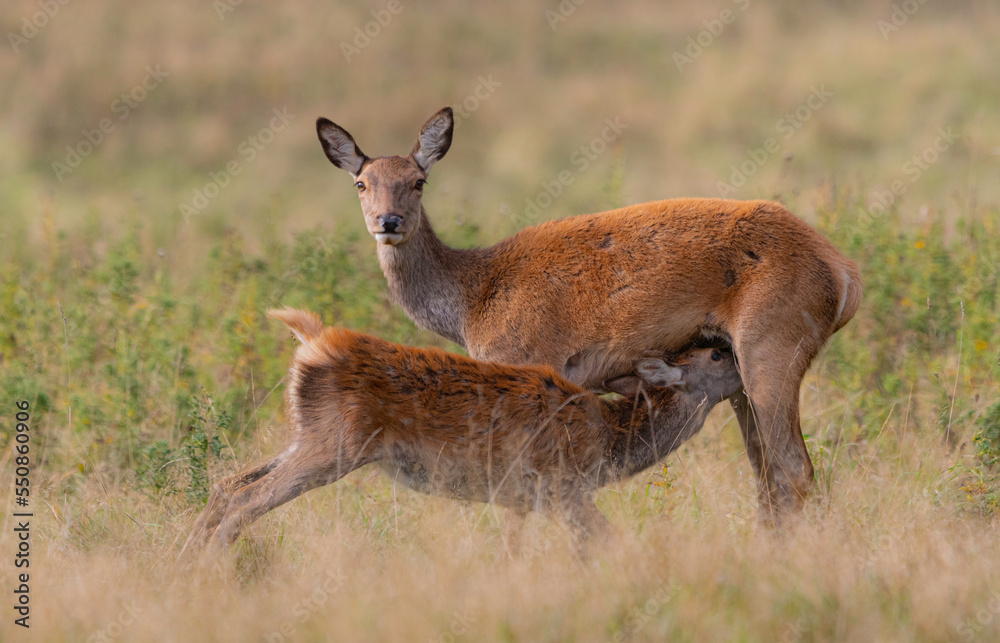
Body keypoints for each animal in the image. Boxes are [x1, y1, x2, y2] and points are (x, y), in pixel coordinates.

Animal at [180, 309, 743, 555]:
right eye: (717, 354)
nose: (745, 359)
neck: (609, 441)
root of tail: (312, 343)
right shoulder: (558, 485)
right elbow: (606, 541)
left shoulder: (522, 497)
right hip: (335, 444)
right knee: (245, 500)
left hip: (306, 434)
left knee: (226, 483)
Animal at [314, 107, 862, 526]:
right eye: (361, 183)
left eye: (418, 181)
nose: (388, 221)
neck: (472, 305)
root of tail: (845, 273)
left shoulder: (528, 361)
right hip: (742, 370)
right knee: (766, 475)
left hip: (772, 341)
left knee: (794, 469)